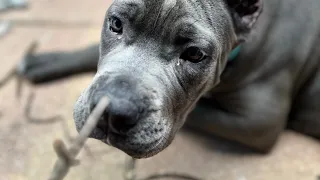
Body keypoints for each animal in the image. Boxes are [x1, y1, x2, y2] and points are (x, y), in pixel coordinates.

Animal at [18, 0, 320, 158]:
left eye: (195, 54)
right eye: (116, 23)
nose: (111, 111)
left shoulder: (259, 121)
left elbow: (196, 112)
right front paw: (44, 61)